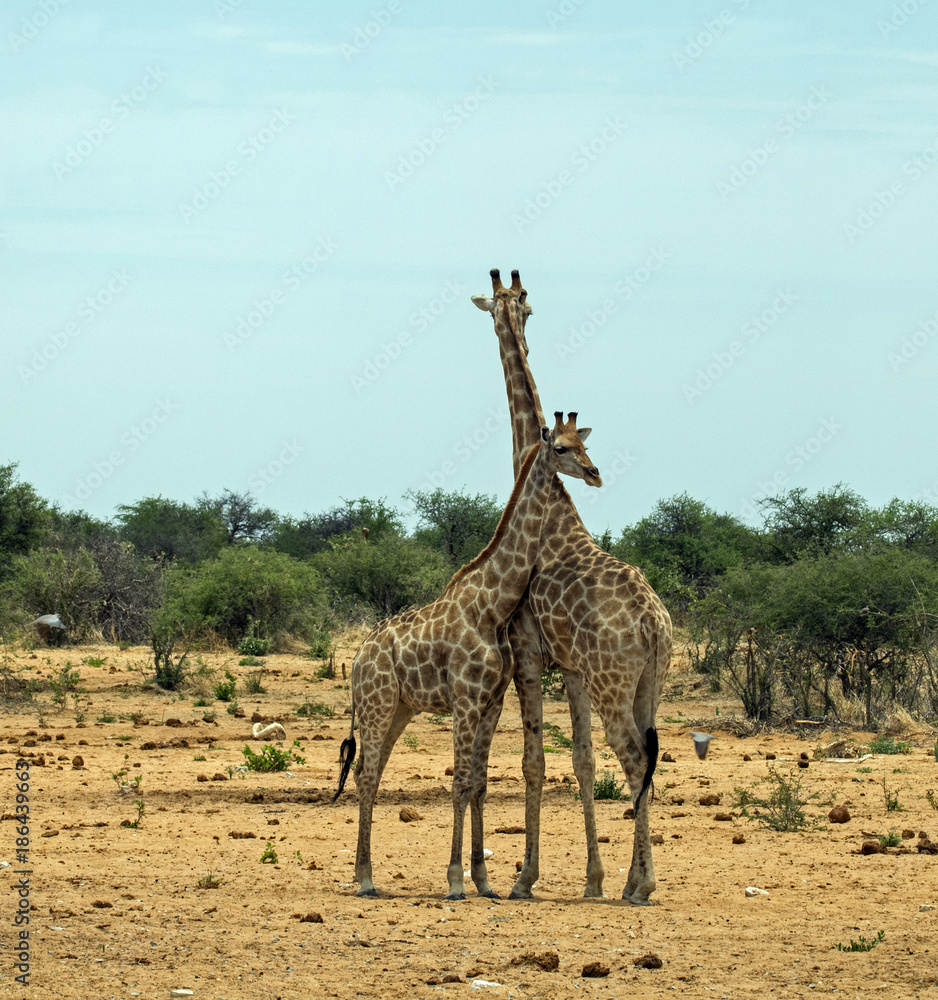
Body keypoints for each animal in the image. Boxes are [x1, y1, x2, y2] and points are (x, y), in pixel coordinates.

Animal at [333, 412, 601, 899]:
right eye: (561, 448)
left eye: (585, 444)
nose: (594, 474)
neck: (492, 605)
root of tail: (360, 655)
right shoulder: (464, 700)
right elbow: (458, 783)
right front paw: (456, 880)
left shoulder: (491, 701)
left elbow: (478, 784)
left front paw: (484, 880)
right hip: (376, 704)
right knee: (366, 773)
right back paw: (365, 879)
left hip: (399, 708)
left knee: (370, 773)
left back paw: (366, 874)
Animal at [472, 268, 672, 905]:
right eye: (518, 303)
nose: (595, 471)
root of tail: (652, 624)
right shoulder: (574, 668)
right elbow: (582, 762)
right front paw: (592, 878)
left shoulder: (529, 653)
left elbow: (535, 761)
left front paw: (525, 878)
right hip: (648, 681)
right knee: (650, 757)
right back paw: (632, 879)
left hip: (615, 681)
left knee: (632, 757)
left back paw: (643, 885)